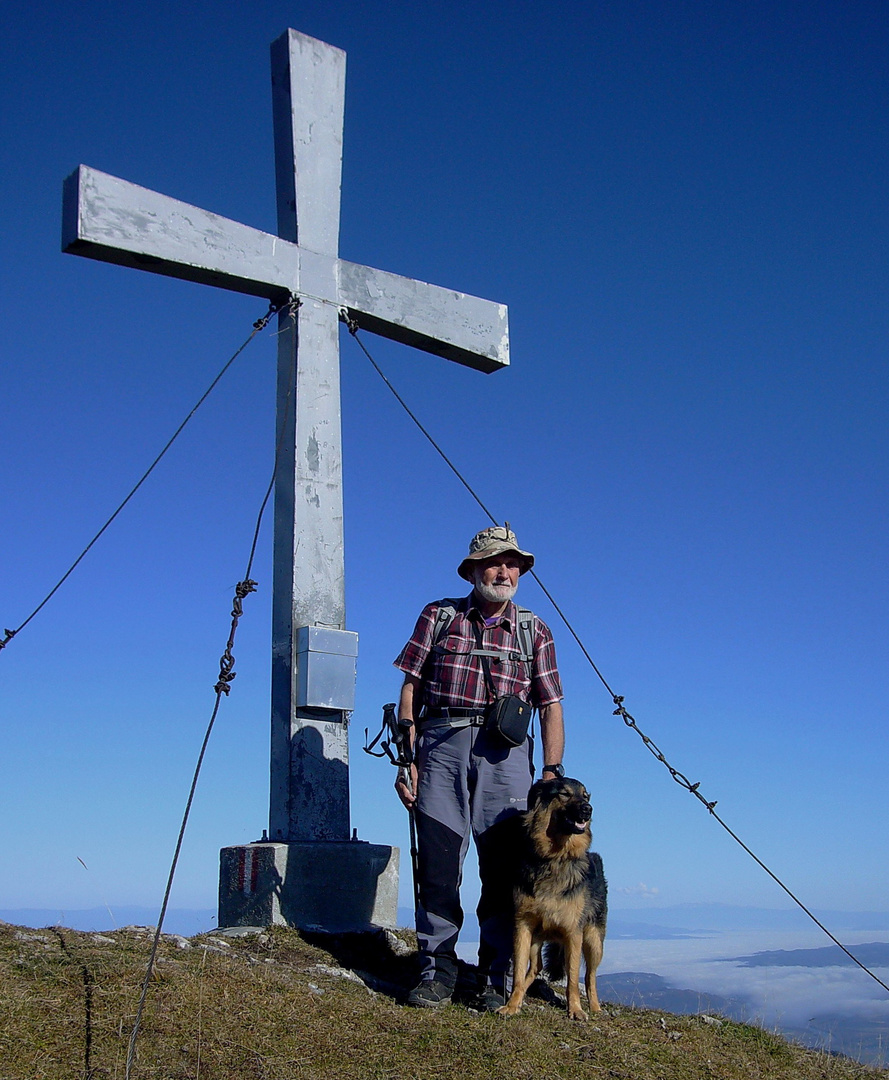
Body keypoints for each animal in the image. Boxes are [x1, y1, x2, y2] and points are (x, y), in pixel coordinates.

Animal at [496, 777, 609, 1019]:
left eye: (585, 796)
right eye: (564, 794)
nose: (588, 809)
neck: (555, 857)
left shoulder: (573, 932)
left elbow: (573, 978)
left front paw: (575, 1009)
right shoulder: (523, 926)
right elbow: (519, 972)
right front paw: (512, 1005)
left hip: (594, 940)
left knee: (590, 976)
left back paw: (595, 1007)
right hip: (536, 941)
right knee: (534, 968)